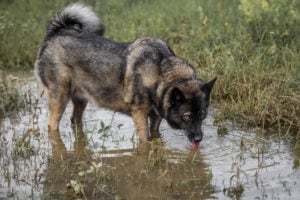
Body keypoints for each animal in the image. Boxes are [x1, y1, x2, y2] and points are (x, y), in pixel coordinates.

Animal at [35, 2, 217, 144]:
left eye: (203, 115)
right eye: (186, 116)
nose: (198, 139)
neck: (161, 69)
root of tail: (56, 33)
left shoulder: (155, 117)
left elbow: (155, 137)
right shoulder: (140, 115)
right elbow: (145, 142)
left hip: (81, 98)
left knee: (75, 121)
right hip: (60, 98)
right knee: (52, 126)